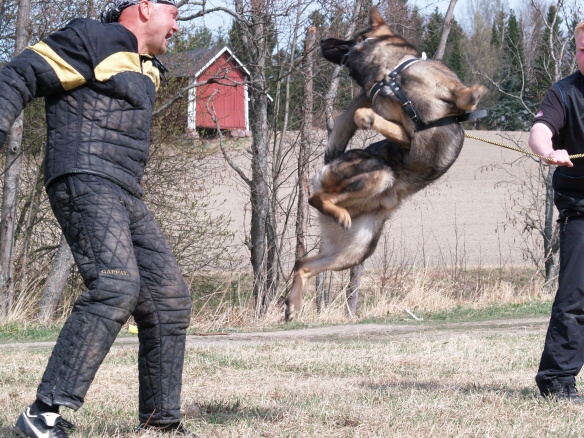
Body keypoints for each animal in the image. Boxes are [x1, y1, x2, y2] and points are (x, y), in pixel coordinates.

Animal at [284, 6, 488, 322]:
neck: (391, 75)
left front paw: (474, 93)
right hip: (380, 176)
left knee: (303, 263)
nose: (322, 40)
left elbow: (462, 95)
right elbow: (365, 115)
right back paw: (336, 213)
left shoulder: (420, 117)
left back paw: (293, 303)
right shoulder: (404, 132)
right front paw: (367, 117)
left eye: (353, 37)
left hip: (354, 250)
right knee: (315, 198)